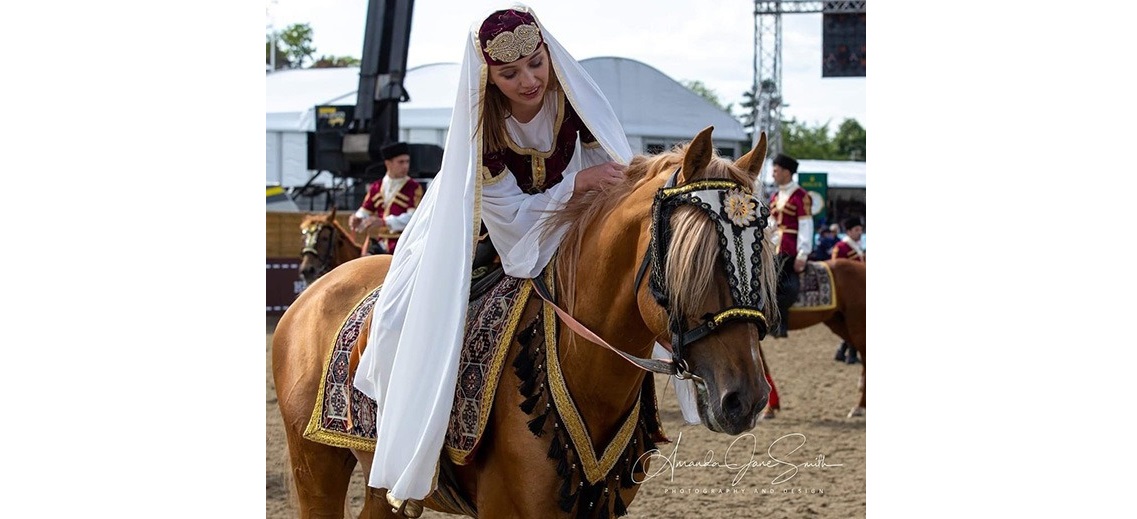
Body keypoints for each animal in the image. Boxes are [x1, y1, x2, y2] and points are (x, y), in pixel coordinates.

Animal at [270, 126, 777, 519]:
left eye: (759, 253)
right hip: (314, 465)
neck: (583, 363)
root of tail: (312, 294)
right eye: (690, 260)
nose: (745, 399)